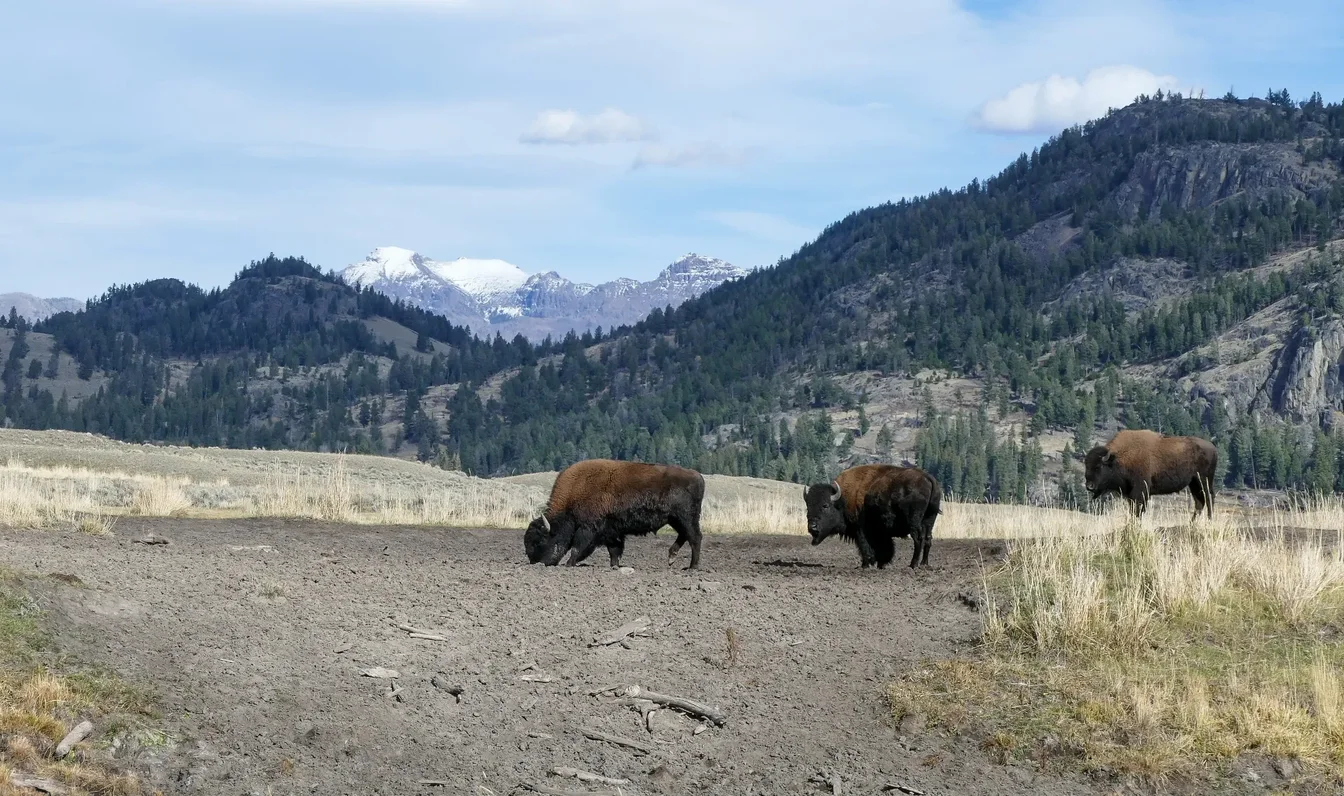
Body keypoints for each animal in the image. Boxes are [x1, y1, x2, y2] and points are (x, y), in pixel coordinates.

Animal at [523, 459, 706, 570]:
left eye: (539, 541)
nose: (535, 563)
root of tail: (697, 475)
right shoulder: (612, 532)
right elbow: (614, 551)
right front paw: (615, 566)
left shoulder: (587, 528)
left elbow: (577, 547)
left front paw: (569, 564)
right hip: (675, 519)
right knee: (685, 535)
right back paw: (672, 557)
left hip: (685, 518)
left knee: (695, 537)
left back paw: (692, 567)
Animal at [803, 464, 941, 569]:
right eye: (808, 506)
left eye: (825, 506)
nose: (812, 526)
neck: (842, 500)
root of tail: (927, 478)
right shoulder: (881, 532)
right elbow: (885, 547)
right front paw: (881, 564)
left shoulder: (861, 529)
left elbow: (865, 545)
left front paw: (866, 564)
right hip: (930, 520)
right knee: (928, 539)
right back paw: (924, 564)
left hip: (914, 521)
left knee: (918, 539)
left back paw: (913, 565)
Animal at [1084, 429, 1218, 521]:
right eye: (1086, 466)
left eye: (1098, 467)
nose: (1089, 486)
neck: (1117, 459)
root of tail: (1213, 447)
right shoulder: (1130, 495)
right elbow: (1133, 510)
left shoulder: (1140, 492)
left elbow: (1138, 511)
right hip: (1194, 483)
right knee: (1199, 502)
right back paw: (1192, 523)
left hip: (1203, 480)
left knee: (1209, 497)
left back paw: (1209, 519)